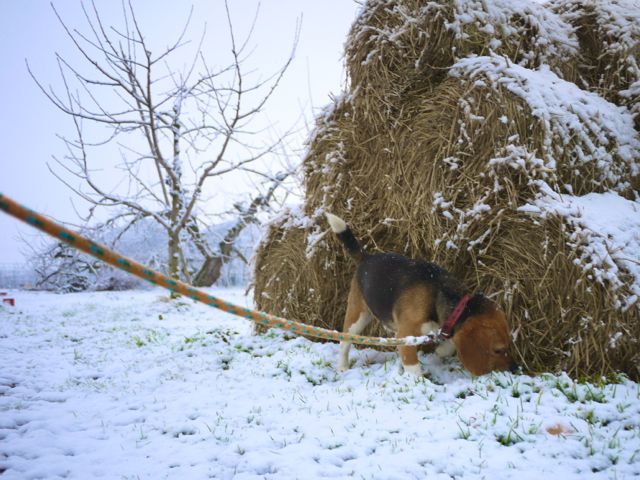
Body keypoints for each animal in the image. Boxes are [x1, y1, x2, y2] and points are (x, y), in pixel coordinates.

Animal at [328, 212, 516, 376]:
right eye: (498, 350)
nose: (515, 368)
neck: (441, 292)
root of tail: (366, 258)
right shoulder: (406, 335)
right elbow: (413, 365)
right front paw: (418, 381)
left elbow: (449, 344)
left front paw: (441, 350)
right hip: (357, 316)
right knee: (345, 341)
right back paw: (342, 367)